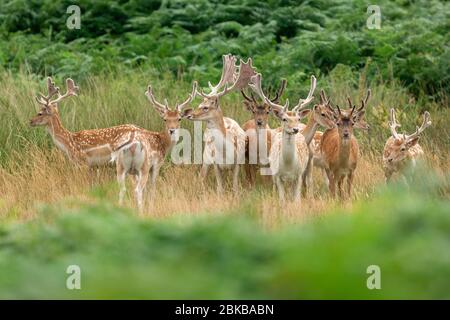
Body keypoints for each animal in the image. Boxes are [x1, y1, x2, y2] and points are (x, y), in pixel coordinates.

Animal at [111, 82, 197, 210]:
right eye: (165, 119)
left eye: (179, 118)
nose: (172, 130)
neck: (163, 143)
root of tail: (131, 146)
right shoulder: (156, 165)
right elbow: (152, 188)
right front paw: (150, 207)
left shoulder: (134, 173)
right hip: (144, 166)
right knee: (138, 190)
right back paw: (141, 211)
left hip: (120, 166)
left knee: (122, 190)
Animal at [183, 53, 256, 194]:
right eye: (199, 105)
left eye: (205, 107)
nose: (189, 115)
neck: (226, 152)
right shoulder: (215, 163)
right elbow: (220, 189)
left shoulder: (238, 162)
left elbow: (235, 188)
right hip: (206, 157)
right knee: (201, 178)